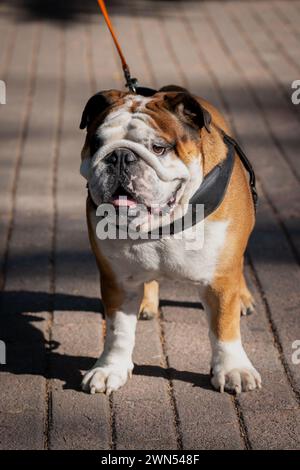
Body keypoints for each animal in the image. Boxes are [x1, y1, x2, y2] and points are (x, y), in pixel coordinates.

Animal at [78, 86, 262, 394]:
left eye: (158, 148)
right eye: (97, 143)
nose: (119, 156)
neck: (164, 224)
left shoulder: (221, 280)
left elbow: (224, 326)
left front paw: (233, 369)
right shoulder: (116, 281)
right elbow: (118, 331)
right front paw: (110, 368)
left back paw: (244, 298)